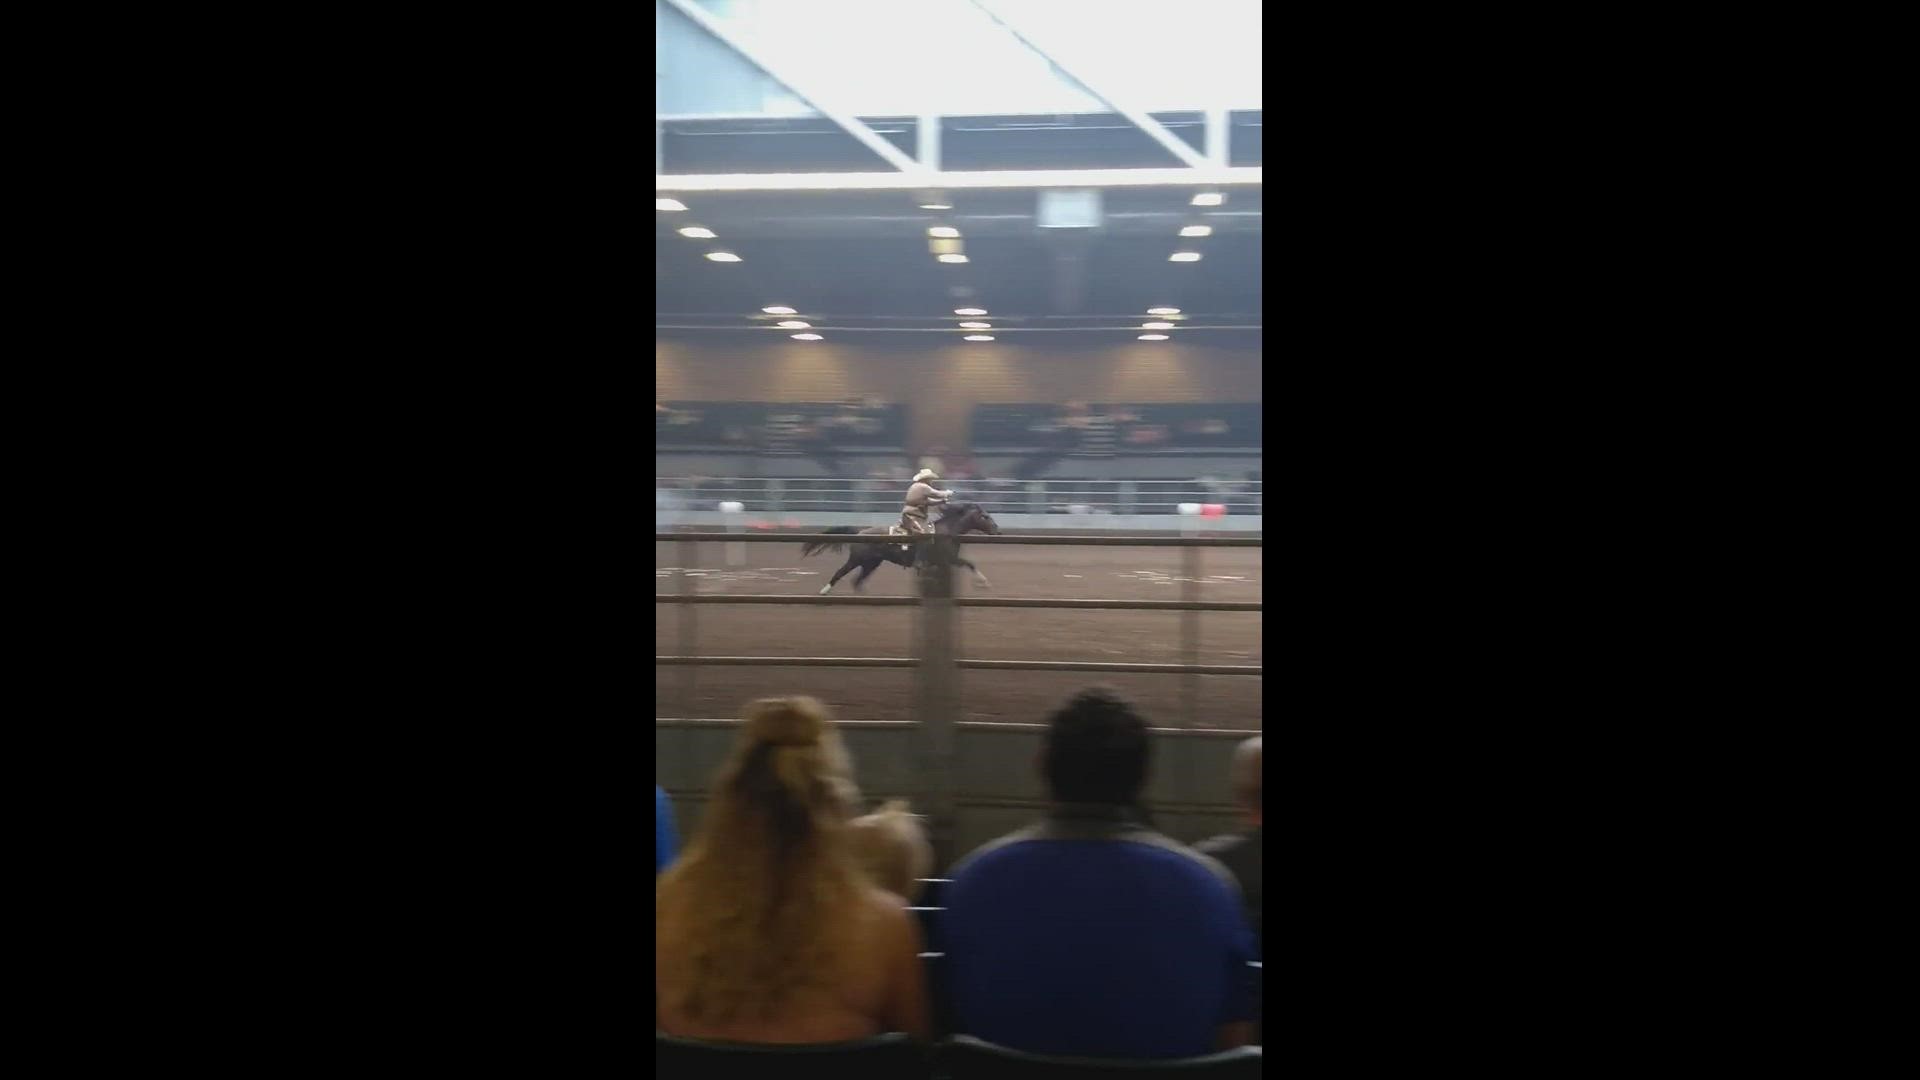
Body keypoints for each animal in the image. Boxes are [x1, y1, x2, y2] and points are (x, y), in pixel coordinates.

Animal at [798, 499, 1006, 591]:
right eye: (985, 516)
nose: (997, 531)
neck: (946, 530)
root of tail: (859, 532)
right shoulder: (950, 559)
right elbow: (970, 564)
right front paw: (984, 582)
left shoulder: (945, 561)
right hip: (857, 560)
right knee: (840, 573)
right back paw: (824, 591)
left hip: (871, 563)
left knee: (857, 581)